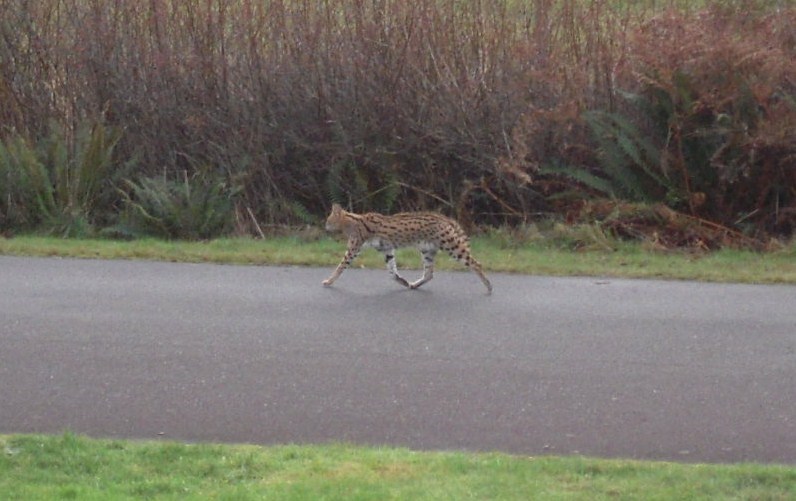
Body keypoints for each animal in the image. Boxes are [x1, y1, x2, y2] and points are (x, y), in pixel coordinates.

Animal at [324, 204, 492, 292]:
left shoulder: (353, 249)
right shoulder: (387, 250)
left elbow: (340, 267)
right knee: (429, 273)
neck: (351, 223)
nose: (325, 227)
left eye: (328, 220)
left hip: (451, 246)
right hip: (427, 250)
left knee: (476, 263)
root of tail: (443, 218)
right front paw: (403, 282)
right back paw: (414, 284)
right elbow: (392, 272)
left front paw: (328, 281)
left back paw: (488, 286)